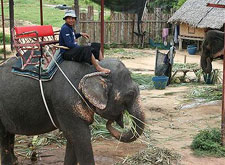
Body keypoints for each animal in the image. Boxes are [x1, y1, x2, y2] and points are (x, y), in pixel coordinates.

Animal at [0, 57, 144, 164]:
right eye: (130, 94)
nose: (111, 122)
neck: (91, 69)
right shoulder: (65, 104)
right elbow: (80, 136)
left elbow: (72, 138)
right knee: (3, 137)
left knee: (8, 135)